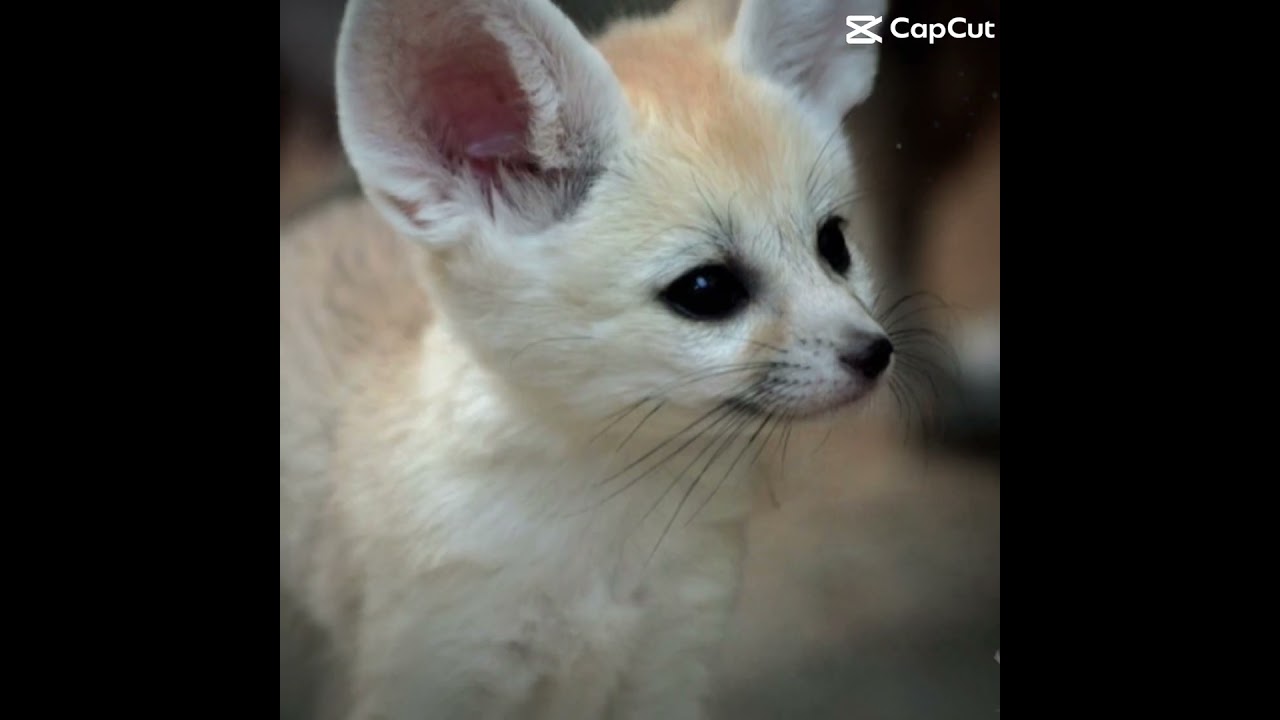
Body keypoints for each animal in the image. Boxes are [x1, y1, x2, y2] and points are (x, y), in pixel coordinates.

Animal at [279, 0, 901, 717]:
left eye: (834, 245)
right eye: (706, 290)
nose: (876, 353)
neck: (606, 532)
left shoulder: (670, 659)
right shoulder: (433, 671)